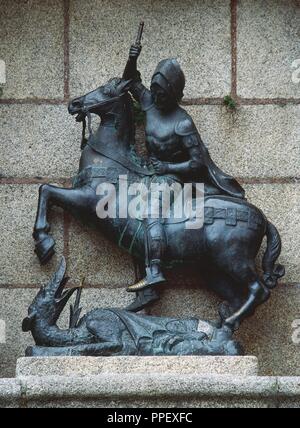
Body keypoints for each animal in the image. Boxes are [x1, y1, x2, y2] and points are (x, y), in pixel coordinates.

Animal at [32, 77, 284, 328]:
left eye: (106, 90)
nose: (74, 104)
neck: (113, 163)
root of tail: (262, 218)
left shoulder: (87, 201)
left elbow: (47, 190)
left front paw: (44, 244)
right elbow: (46, 190)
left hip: (233, 259)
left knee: (259, 290)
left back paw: (227, 322)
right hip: (214, 269)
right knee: (237, 295)